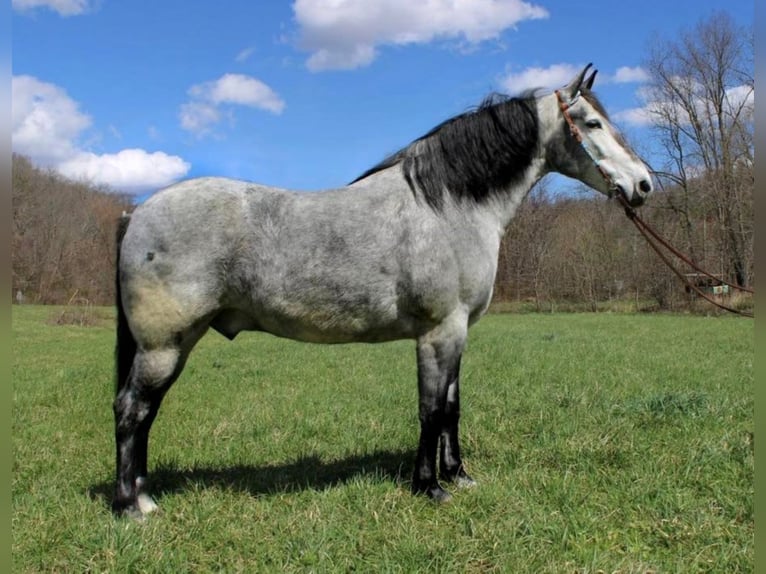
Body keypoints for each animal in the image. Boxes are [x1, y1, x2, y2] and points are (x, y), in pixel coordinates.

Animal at [112, 65, 656, 520]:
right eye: (591, 123)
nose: (644, 184)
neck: (448, 206)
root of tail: (137, 212)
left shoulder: (458, 333)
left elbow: (452, 406)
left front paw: (459, 476)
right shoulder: (440, 332)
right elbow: (431, 409)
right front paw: (429, 487)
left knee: (143, 413)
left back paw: (143, 494)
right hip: (164, 345)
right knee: (131, 411)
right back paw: (131, 507)